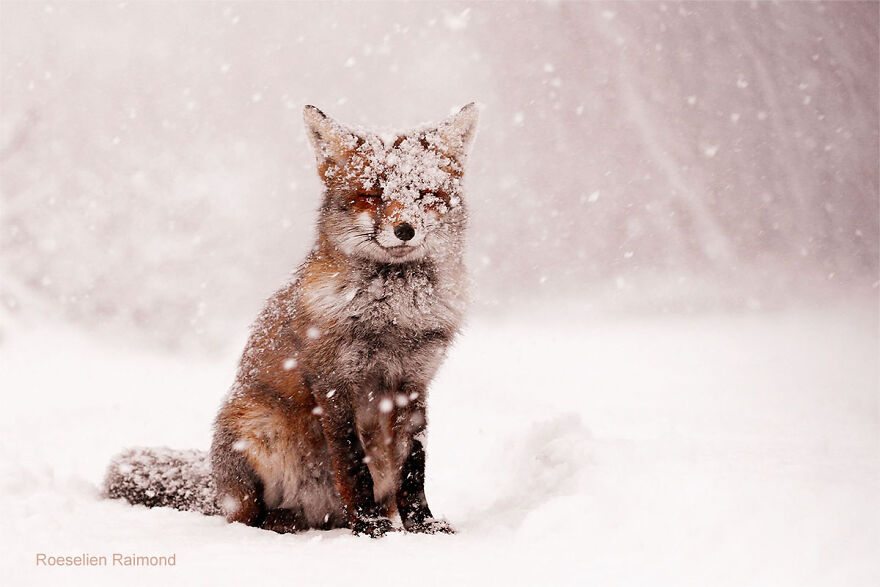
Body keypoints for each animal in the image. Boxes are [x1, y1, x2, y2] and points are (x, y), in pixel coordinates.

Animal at [104, 103, 478, 537]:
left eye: (424, 194)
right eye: (371, 195)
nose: (405, 229)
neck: (392, 318)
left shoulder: (414, 383)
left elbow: (414, 467)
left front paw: (423, 525)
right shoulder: (334, 383)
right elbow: (352, 465)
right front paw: (370, 527)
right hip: (257, 429)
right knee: (248, 517)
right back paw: (286, 522)